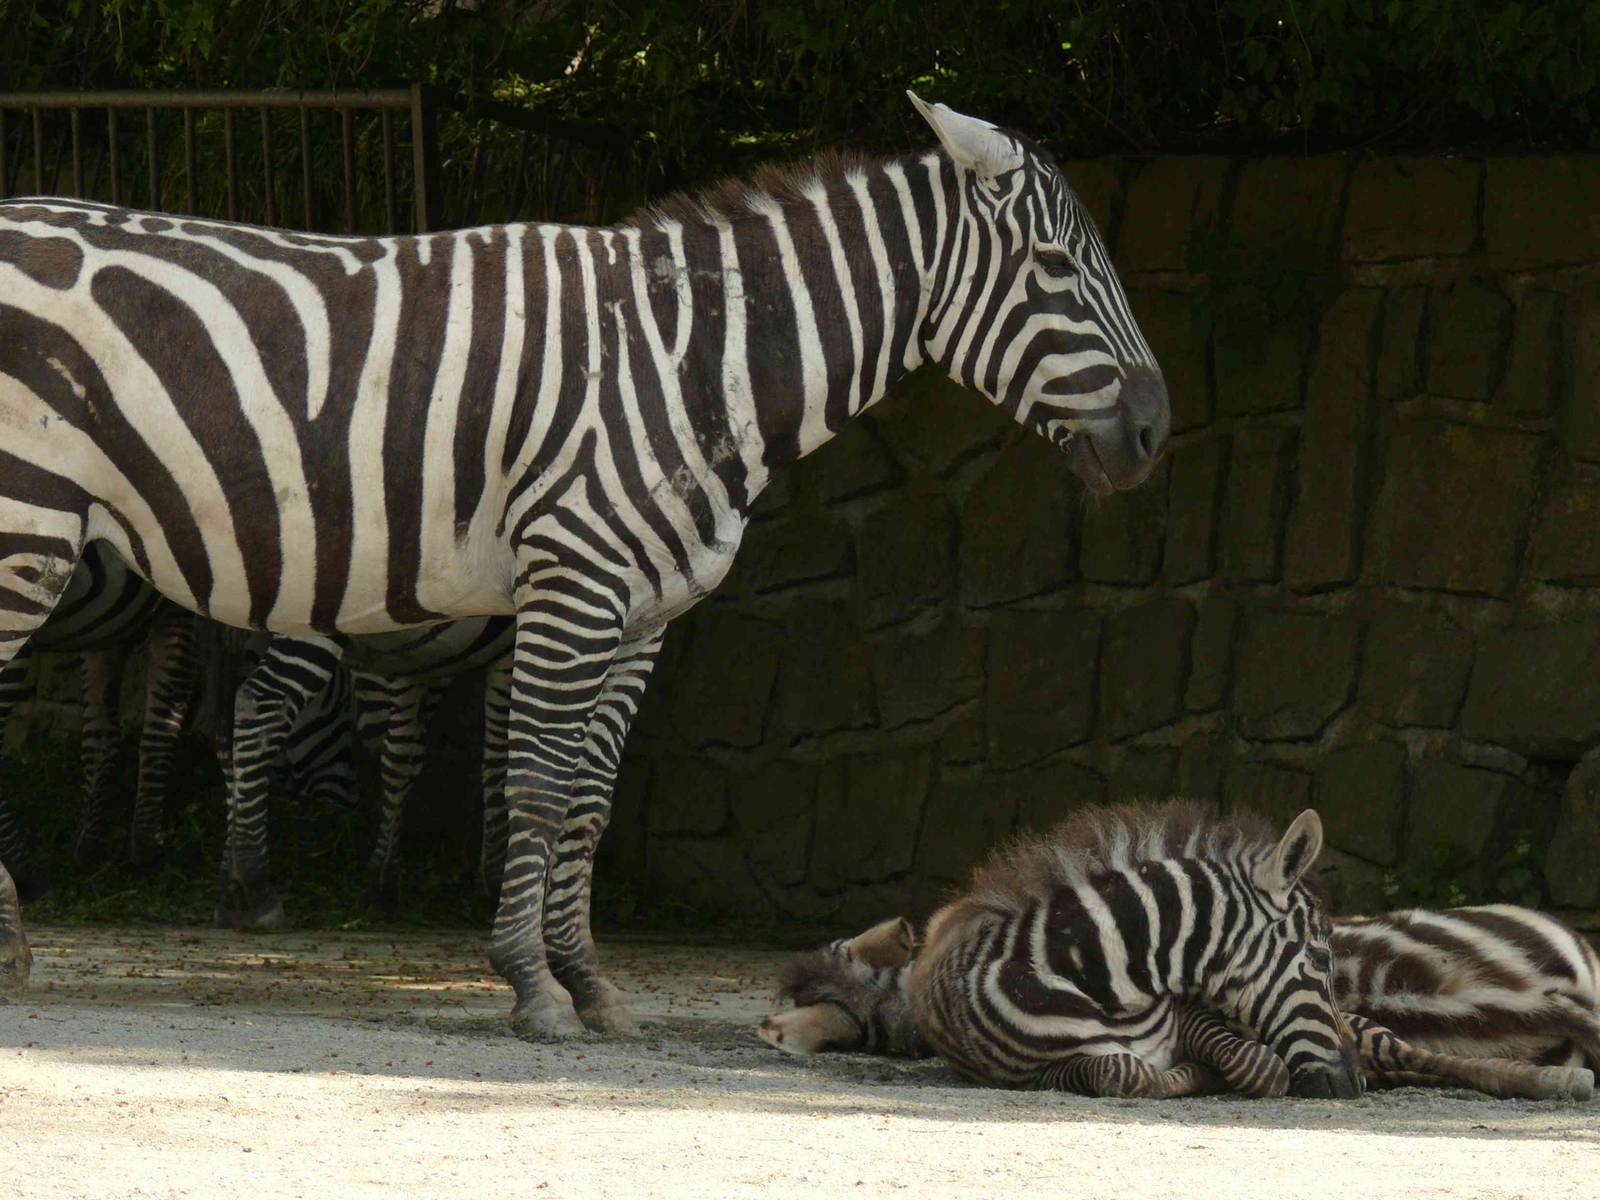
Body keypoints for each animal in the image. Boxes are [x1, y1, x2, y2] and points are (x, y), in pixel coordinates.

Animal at [0, 93, 1169, 1039]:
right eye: (1059, 268)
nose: (1158, 434)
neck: (695, 363)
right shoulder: (575, 583)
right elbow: (537, 782)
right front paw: (531, 985)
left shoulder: (643, 612)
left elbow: (590, 801)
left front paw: (590, 983)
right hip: (30, 519)